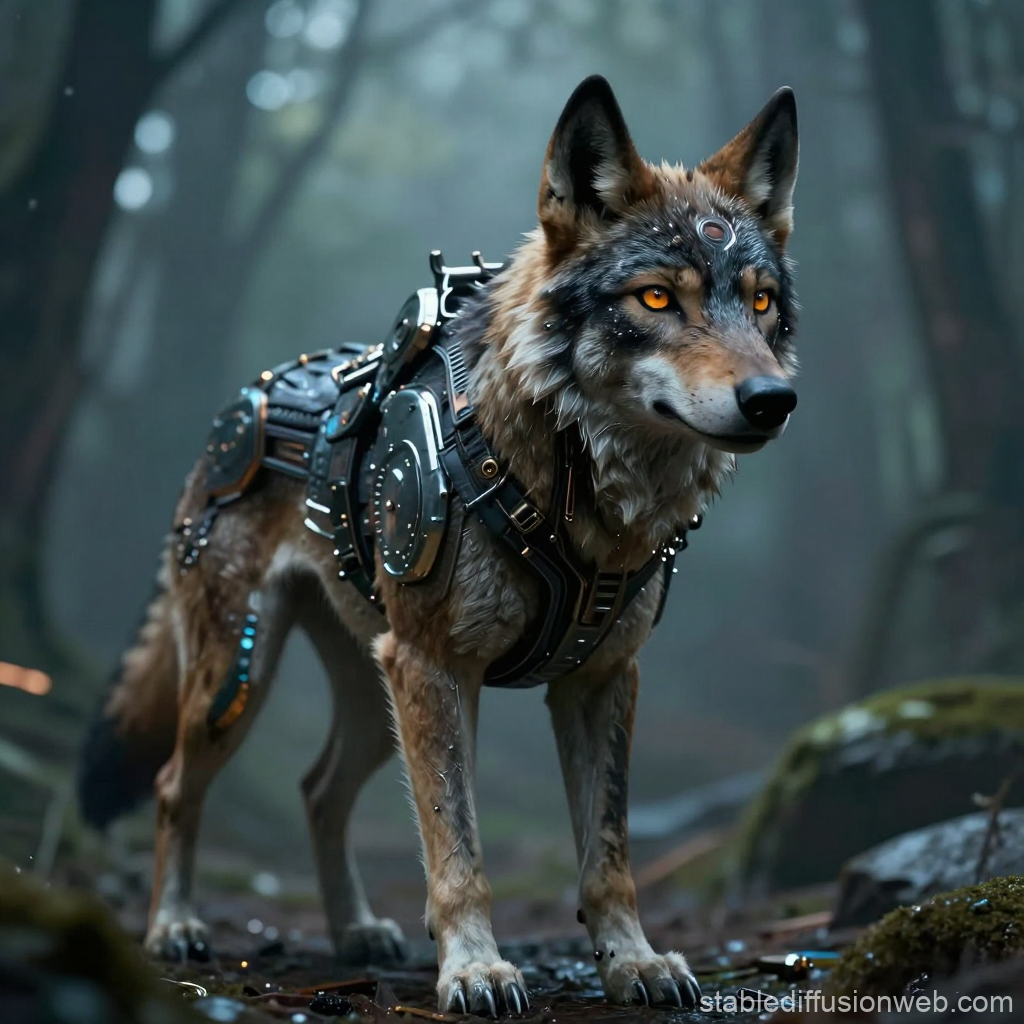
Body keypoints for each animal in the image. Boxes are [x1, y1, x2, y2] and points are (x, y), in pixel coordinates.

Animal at [79, 76, 799, 1015]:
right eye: (654, 299)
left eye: (760, 302)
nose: (773, 400)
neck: (571, 493)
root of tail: (245, 400)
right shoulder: (437, 668)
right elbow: (459, 853)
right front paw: (476, 970)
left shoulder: (601, 678)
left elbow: (608, 857)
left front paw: (633, 962)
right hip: (242, 684)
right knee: (172, 788)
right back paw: (174, 928)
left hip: (371, 696)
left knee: (317, 791)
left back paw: (356, 931)